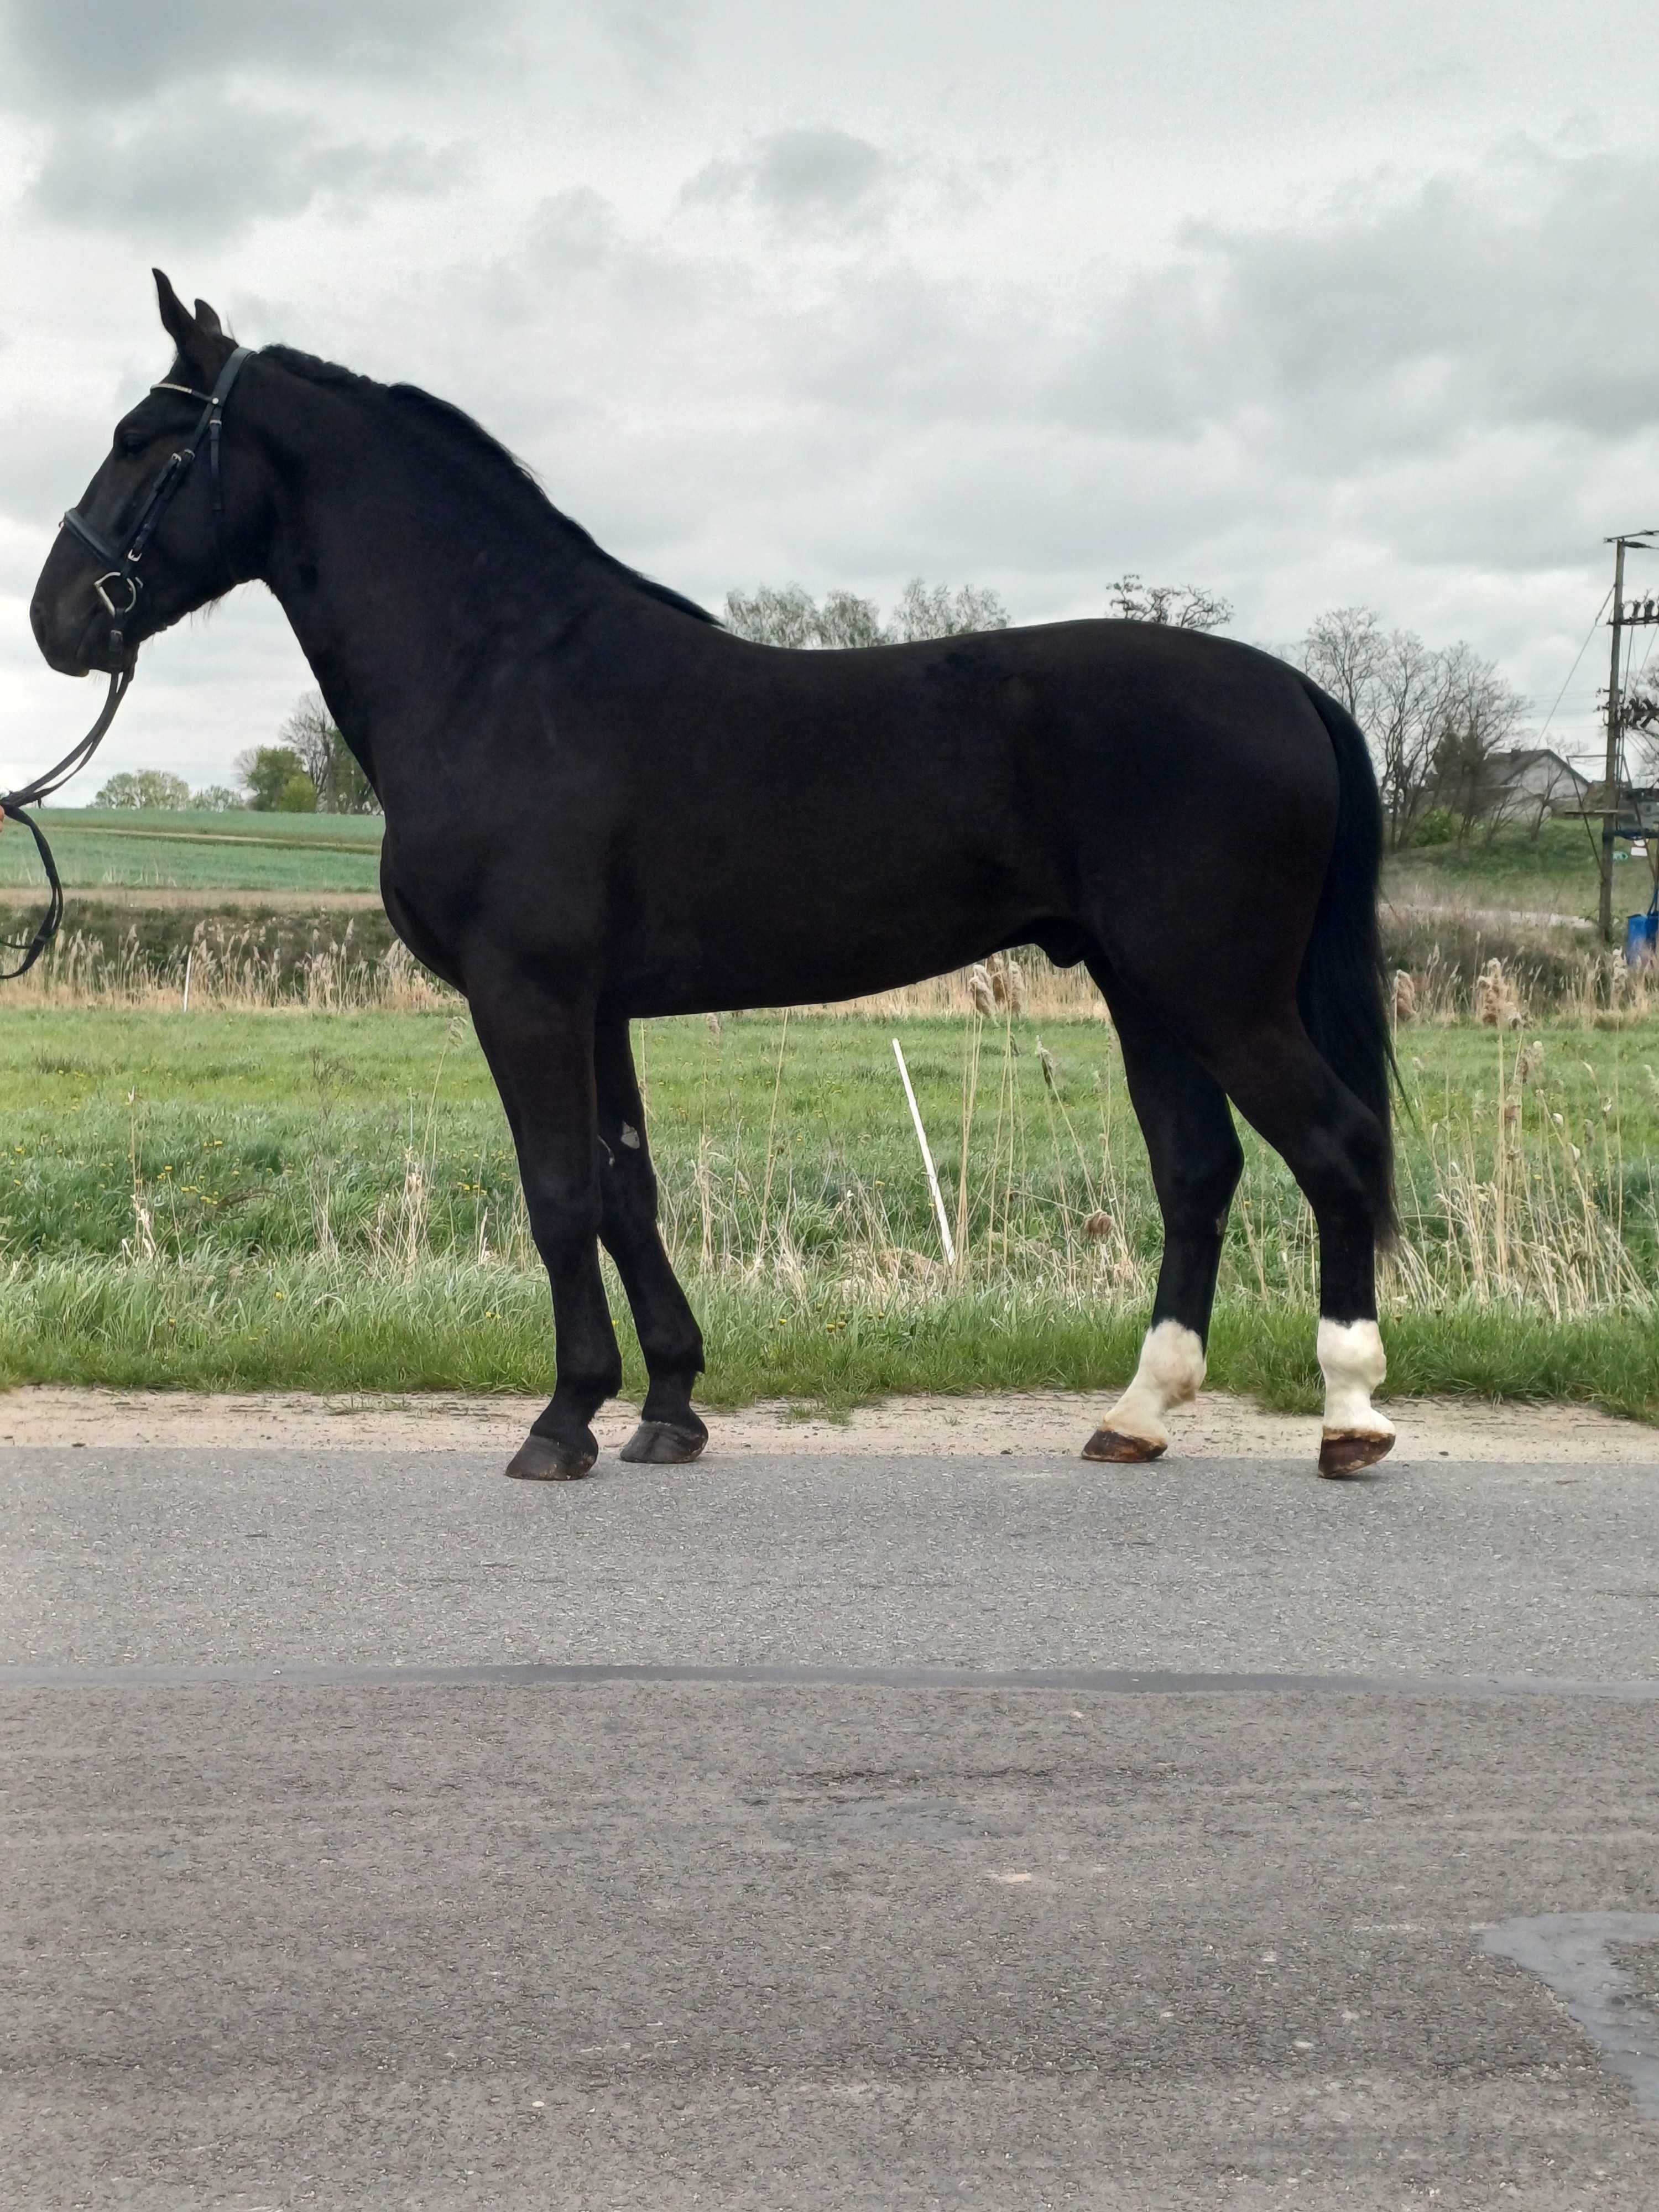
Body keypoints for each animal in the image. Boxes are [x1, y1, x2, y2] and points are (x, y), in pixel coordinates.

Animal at [29, 281, 1407, 1486]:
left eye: (145, 443)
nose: (56, 621)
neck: (504, 676)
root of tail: (1290, 685)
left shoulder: (526, 994)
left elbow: (559, 1193)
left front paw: (563, 1419)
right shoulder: (596, 1005)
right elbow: (627, 1190)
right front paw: (669, 1406)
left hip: (1217, 988)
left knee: (1334, 1146)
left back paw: (1349, 1415)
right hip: (1143, 985)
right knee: (1198, 1170)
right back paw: (1138, 1412)